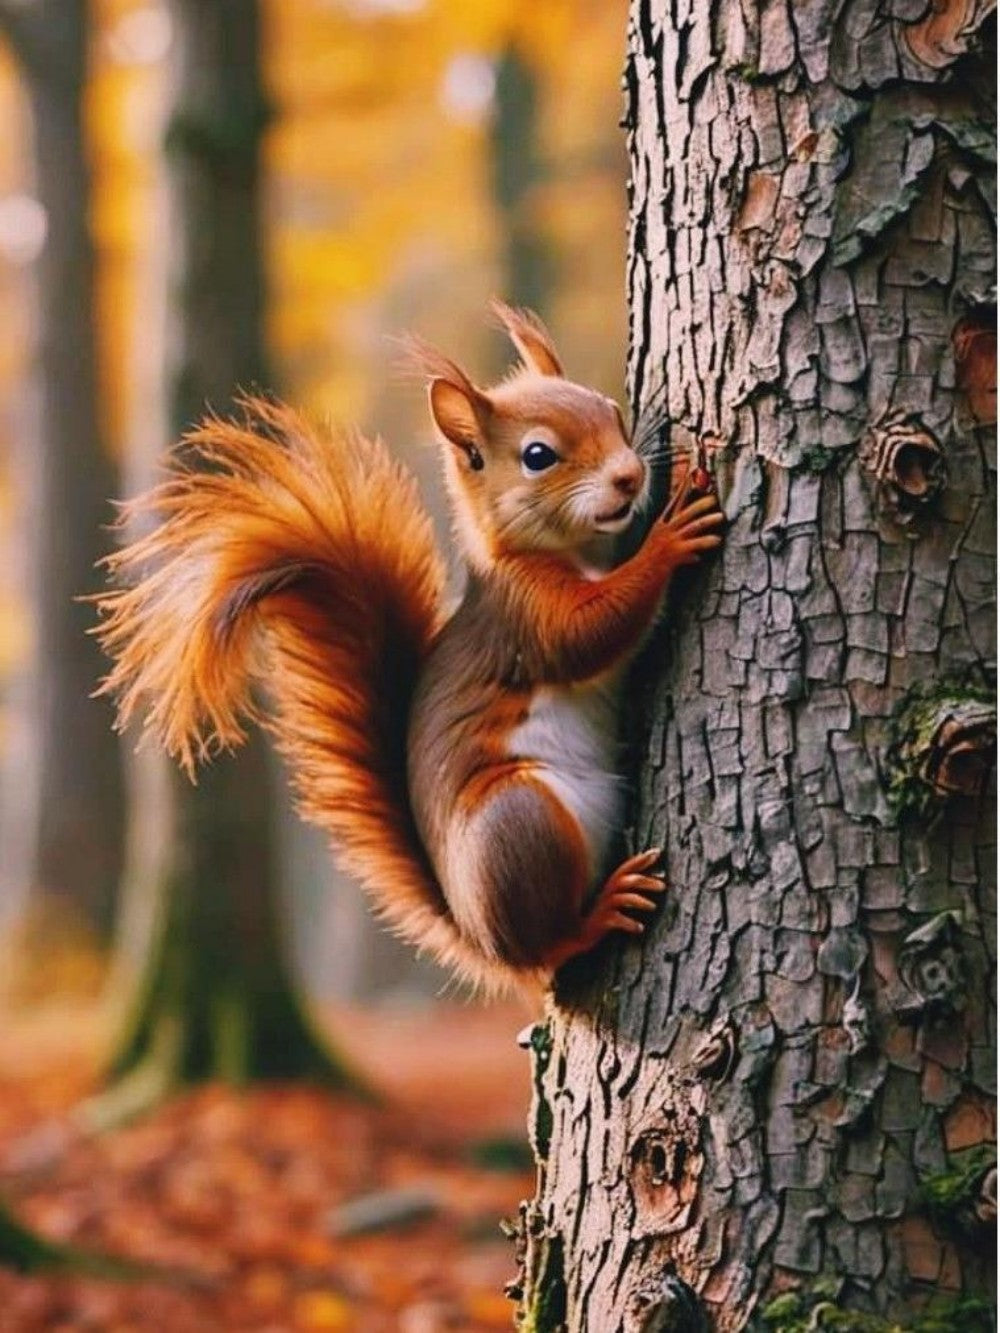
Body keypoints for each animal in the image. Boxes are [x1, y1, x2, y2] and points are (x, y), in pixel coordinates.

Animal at [94, 302, 723, 994]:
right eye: (538, 455)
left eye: (611, 411)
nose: (630, 476)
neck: (569, 553)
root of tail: (484, 942)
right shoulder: (525, 615)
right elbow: (594, 630)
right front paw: (668, 537)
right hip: (518, 825)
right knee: (549, 946)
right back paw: (599, 911)